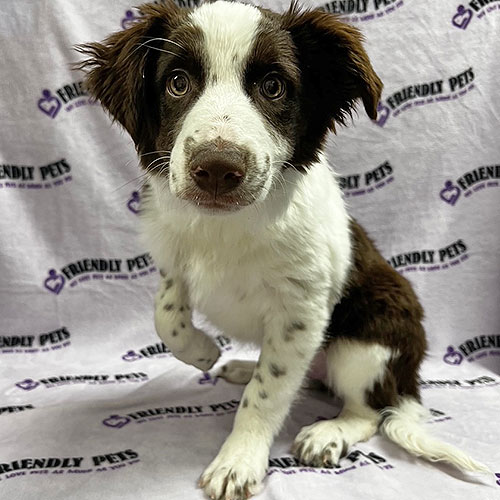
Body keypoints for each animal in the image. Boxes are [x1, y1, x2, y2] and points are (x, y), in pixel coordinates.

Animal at [78, 1, 488, 498]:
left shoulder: (301, 313)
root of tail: (407, 380)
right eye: (177, 82)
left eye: (273, 87)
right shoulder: (172, 257)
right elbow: (166, 313)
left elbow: (267, 393)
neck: (227, 227)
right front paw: (203, 352)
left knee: (369, 409)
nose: (217, 170)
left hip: (370, 336)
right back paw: (240, 367)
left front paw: (238, 460)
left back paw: (329, 431)